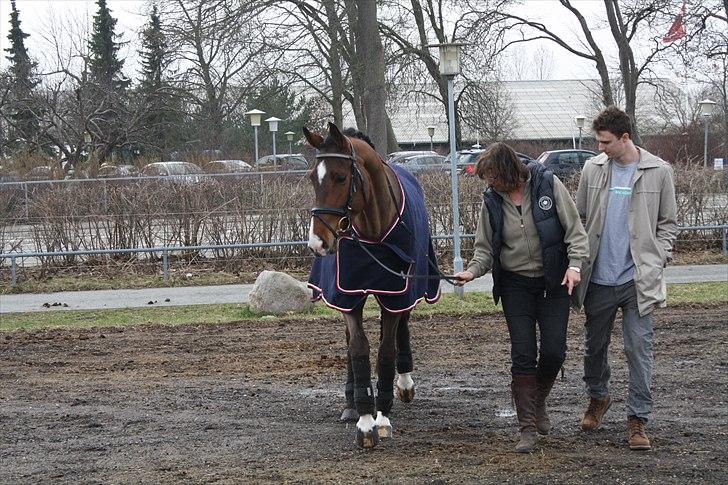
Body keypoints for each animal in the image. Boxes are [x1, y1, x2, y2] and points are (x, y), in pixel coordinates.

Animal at [302, 123, 438, 448]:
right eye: (313, 177)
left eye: (340, 177)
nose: (317, 243)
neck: (374, 232)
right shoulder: (348, 295)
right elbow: (358, 347)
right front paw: (364, 418)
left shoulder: (396, 293)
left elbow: (386, 349)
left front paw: (383, 415)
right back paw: (351, 402)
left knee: (402, 328)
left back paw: (404, 384)